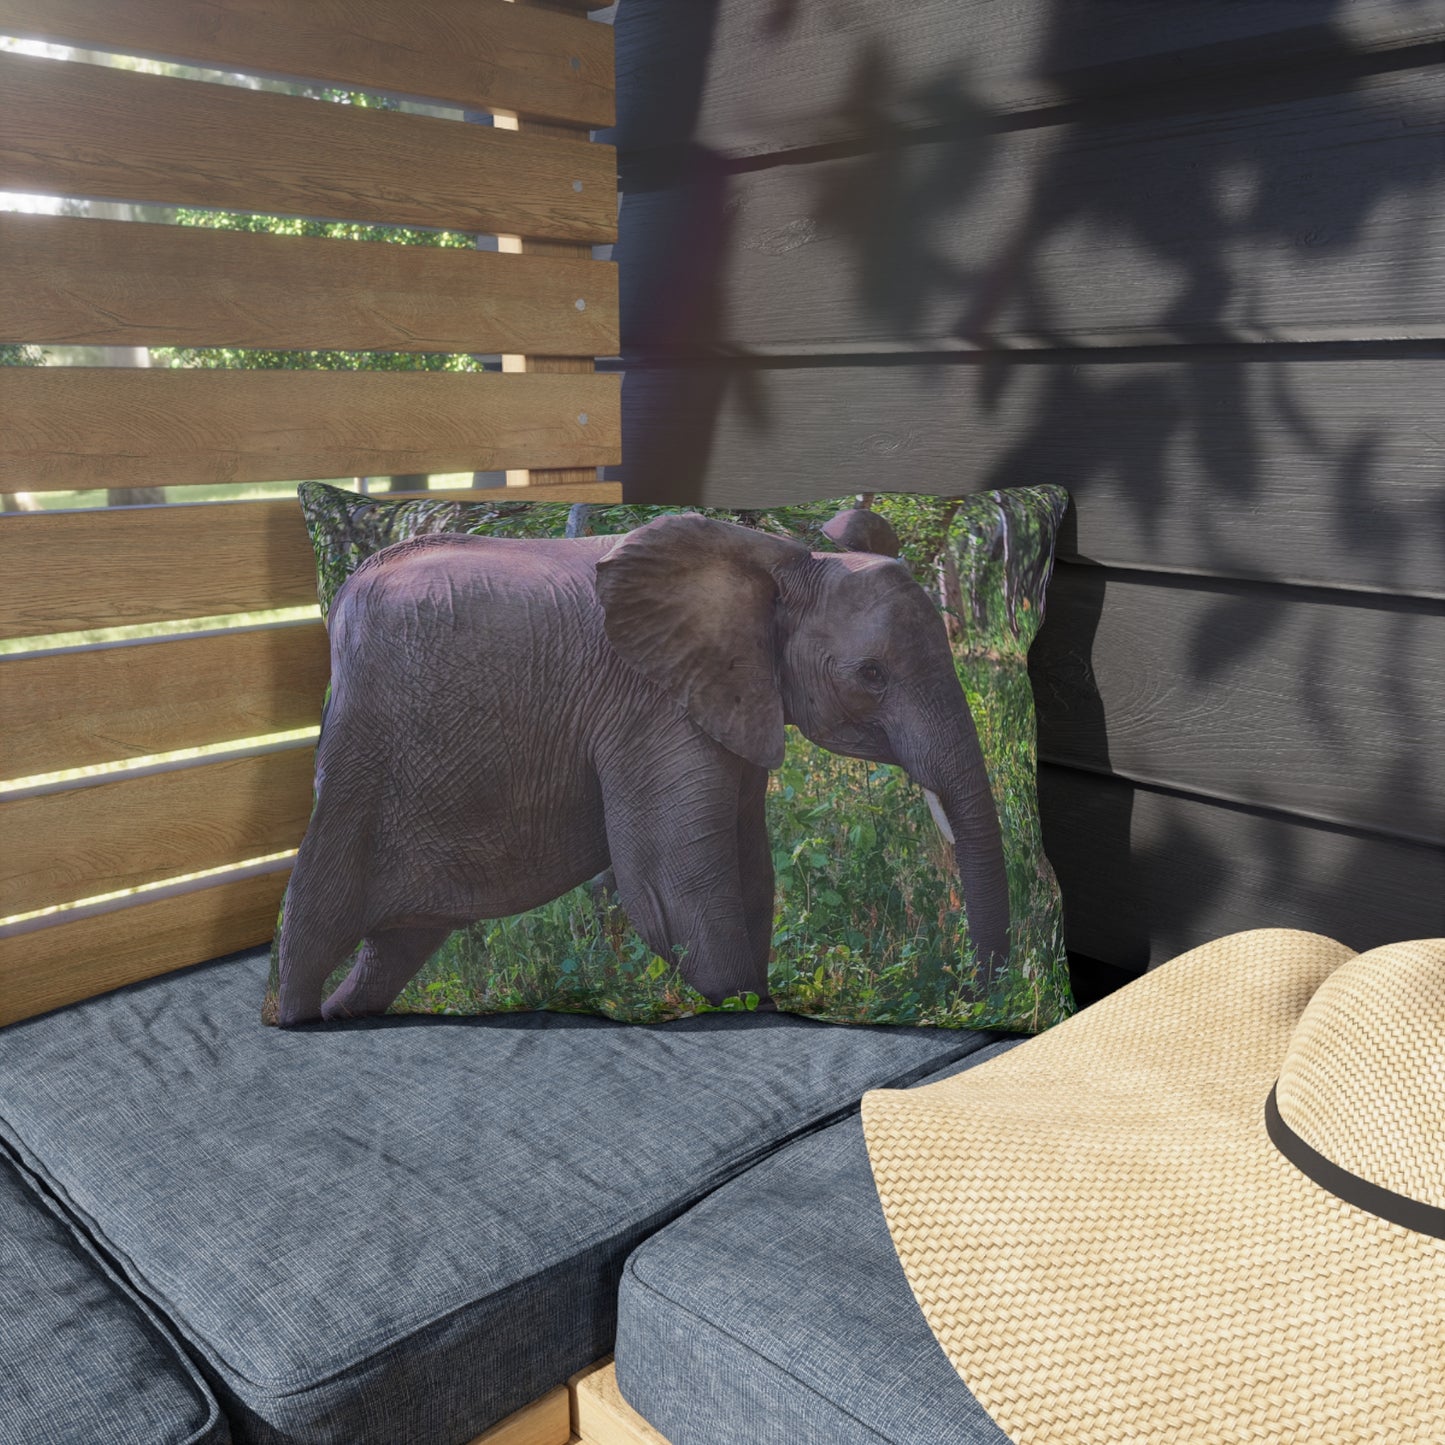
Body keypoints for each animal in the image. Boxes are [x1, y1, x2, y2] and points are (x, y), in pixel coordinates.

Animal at [274, 510, 1010, 1026]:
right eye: (870, 674)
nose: (977, 994)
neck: (781, 560)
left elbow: (750, 875)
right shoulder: (650, 708)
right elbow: (674, 892)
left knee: (395, 947)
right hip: (364, 753)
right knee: (311, 924)